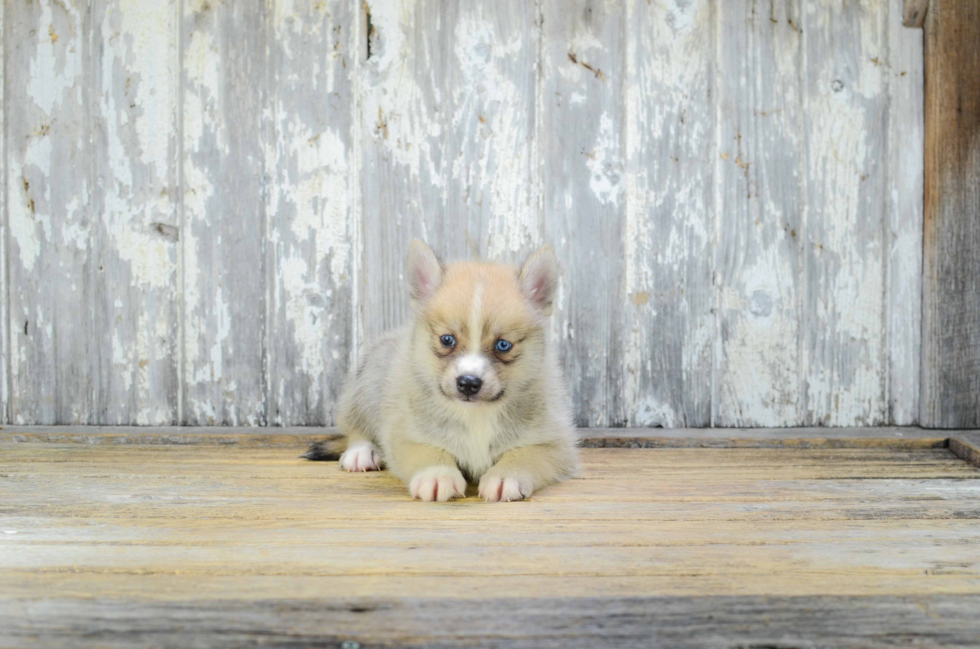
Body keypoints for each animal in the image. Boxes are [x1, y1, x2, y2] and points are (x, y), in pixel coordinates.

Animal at [334, 240, 580, 504]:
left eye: (503, 345)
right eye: (447, 339)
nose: (469, 382)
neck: (475, 414)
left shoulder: (555, 443)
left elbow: (524, 455)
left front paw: (506, 476)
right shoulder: (404, 433)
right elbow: (429, 450)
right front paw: (437, 475)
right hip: (370, 379)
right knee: (354, 426)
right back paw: (361, 453)